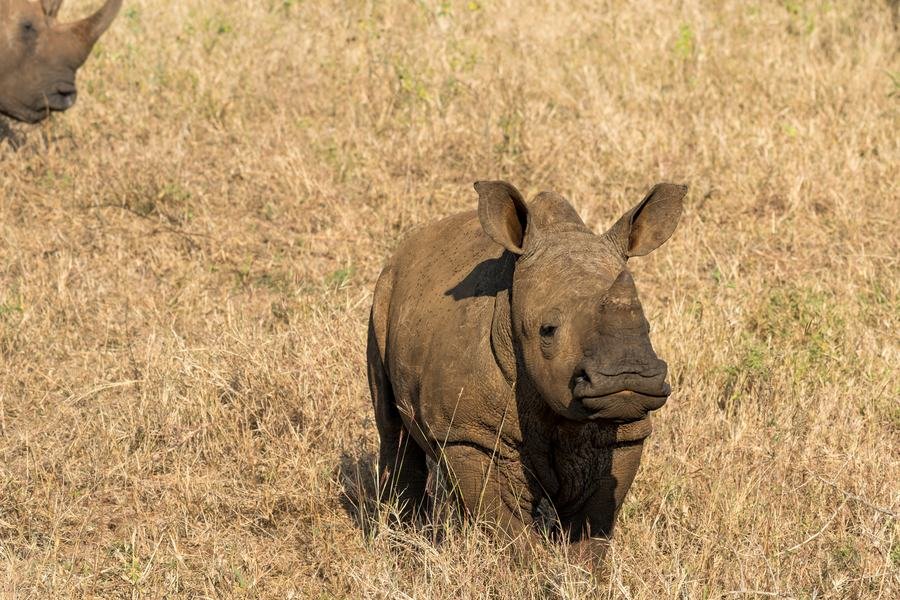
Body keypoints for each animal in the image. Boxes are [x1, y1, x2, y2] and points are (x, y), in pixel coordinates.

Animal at [368, 180, 687, 563]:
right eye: (547, 331)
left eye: (648, 326)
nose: (628, 380)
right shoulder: (470, 434)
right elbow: (506, 524)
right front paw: (529, 570)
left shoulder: (626, 431)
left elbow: (592, 523)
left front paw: (585, 572)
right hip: (382, 295)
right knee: (392, 427)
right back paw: (403, 541)